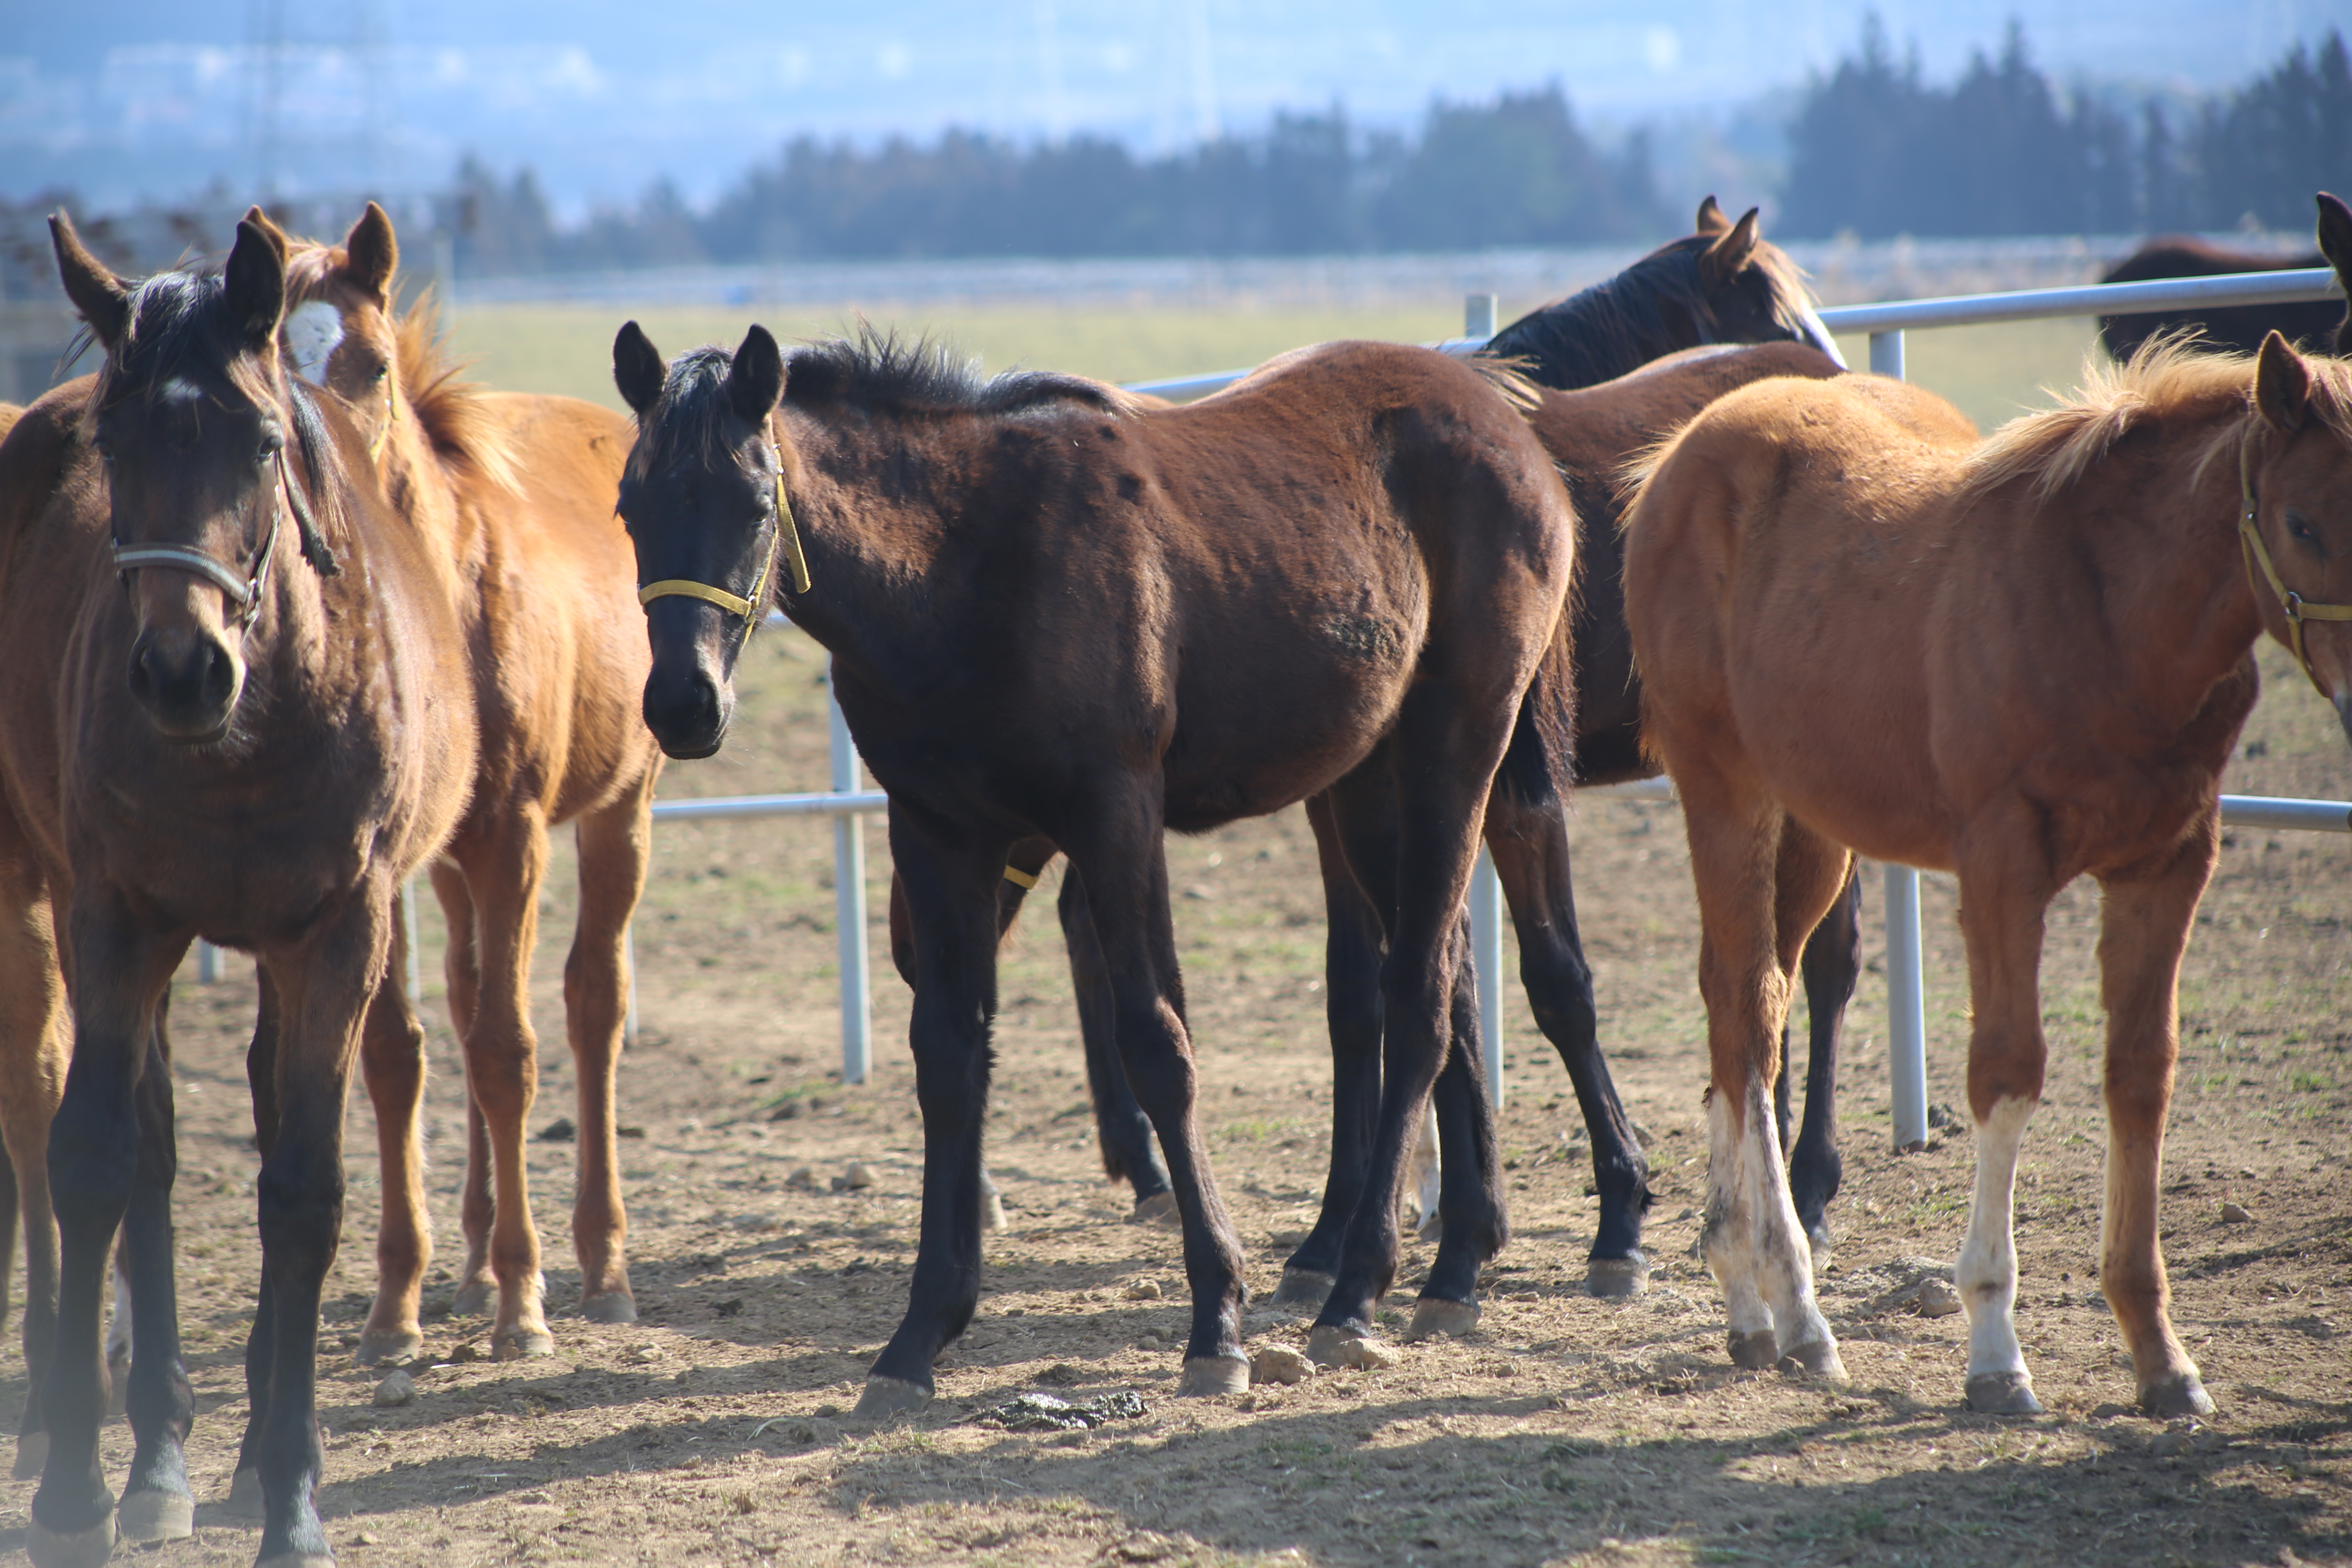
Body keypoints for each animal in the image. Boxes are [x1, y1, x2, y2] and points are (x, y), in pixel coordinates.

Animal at [270, 202, 668, 1382]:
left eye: (368, 361)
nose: (316, 494)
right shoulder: (380, 858)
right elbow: (397, 1051)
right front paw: (397, 1304)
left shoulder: (515, 833)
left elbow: (507, 1051)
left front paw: (526, 1303)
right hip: (449, 866)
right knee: (464, 991)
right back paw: (474, 1262)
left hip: (618, 812)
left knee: (590, 1003)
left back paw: (599, 1265)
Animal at [1627, 339, 2352, 1420]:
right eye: (2301, 521)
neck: (2107, 614)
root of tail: (1680, 452)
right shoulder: (2002, 865)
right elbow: (2008, 1075)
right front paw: (1993, 1349)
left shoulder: (2167, 864)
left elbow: (2140, 1075)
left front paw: (2159, 1354)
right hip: (1725, 790)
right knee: (1746, 1013)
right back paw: (1796, 1308)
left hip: (1814, 827)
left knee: (1741, 998)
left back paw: (1744, 1297)